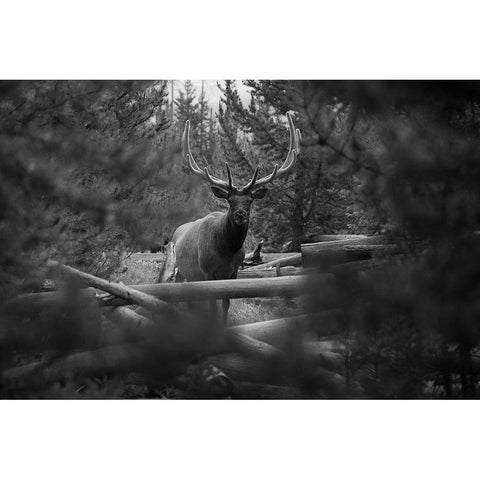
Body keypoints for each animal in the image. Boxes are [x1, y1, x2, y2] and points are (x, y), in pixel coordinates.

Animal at [172, 111, 300, 324]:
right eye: (230, 199)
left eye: (250, 200)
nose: (240, 214)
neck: (226, 251)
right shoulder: (207, 272)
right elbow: (213, 308)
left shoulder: (233, 272)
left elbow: (226, 304)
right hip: (180, 270)